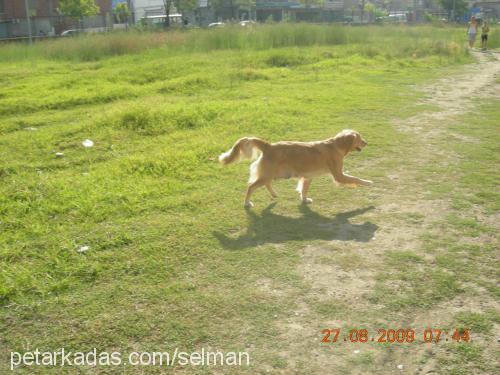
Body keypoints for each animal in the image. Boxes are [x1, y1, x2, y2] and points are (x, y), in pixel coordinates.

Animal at [218, 130, 372, 209]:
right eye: (359, 138)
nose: (366, 142)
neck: (335, 145)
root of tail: (268, 145)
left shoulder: (308, 177)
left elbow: (304, 190)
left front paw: (304, 199)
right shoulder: (339, 175)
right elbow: (356, 179)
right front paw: (368, 182)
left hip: (271, 174)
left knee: (266, 183)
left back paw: (274, 194)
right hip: (268, 174)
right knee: (251, 186)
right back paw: (247, 203)